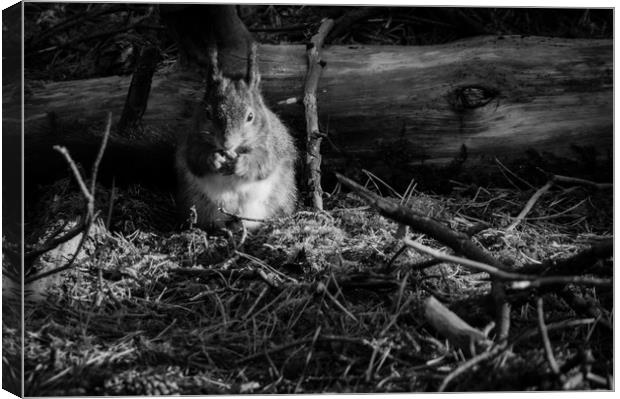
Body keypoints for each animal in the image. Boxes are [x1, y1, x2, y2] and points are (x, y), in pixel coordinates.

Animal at [176, 43, 300, 231]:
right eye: (207, 113)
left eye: (250, 116)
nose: (226, 143)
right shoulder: (192, 141)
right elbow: (195, 159)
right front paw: (213, 159)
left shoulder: (270, 145)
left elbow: (263, 162)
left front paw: (242, 163)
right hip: (198, 202)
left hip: (278, 198)